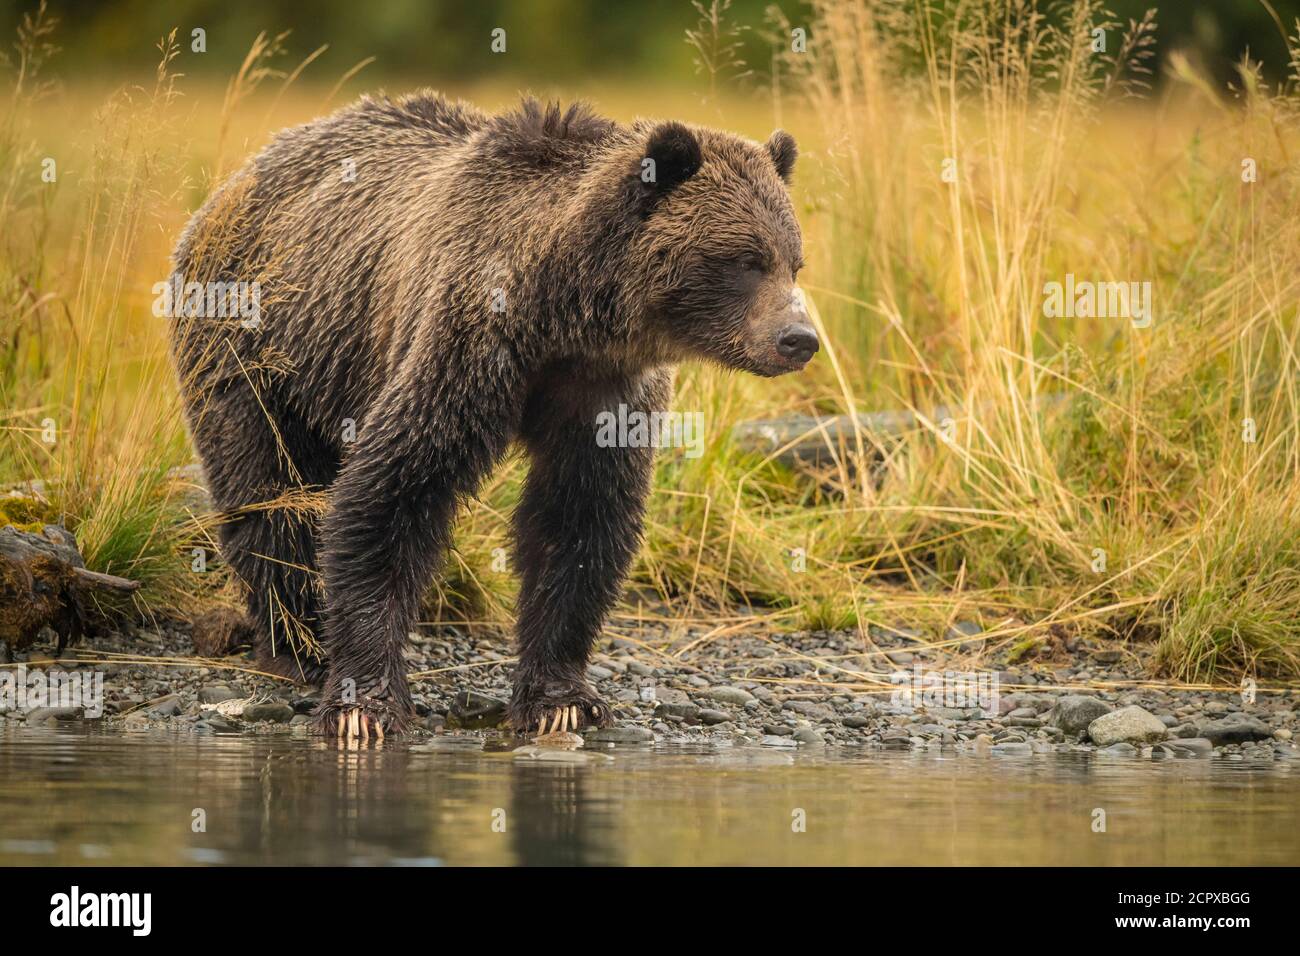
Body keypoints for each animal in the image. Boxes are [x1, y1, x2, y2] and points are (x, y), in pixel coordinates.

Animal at [167, 91, 816, 738]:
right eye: (746, 260)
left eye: (794, 261)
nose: (800, 338)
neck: (564, 314)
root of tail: (240, 177)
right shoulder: (466, 345)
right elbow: (391, 492)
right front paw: (363, 705)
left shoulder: (604, 392)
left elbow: (579, 518)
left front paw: (560, 699)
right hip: (254, 340)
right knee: (268, 488)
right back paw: (297, 644)